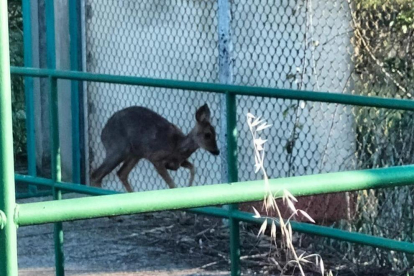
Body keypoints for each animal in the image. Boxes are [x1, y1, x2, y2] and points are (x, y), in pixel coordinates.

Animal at [90, 103, 220, 192]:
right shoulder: (155, 157)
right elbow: (172, 184)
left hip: (135, 154)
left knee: (121, 173)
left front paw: (189, 186)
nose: (217, 151)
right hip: (117, 149)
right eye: (207, 134)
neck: (177, 146)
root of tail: (103, 133)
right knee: (96, 174)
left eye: (215, 133)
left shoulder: (178, 162)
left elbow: (193, 168)